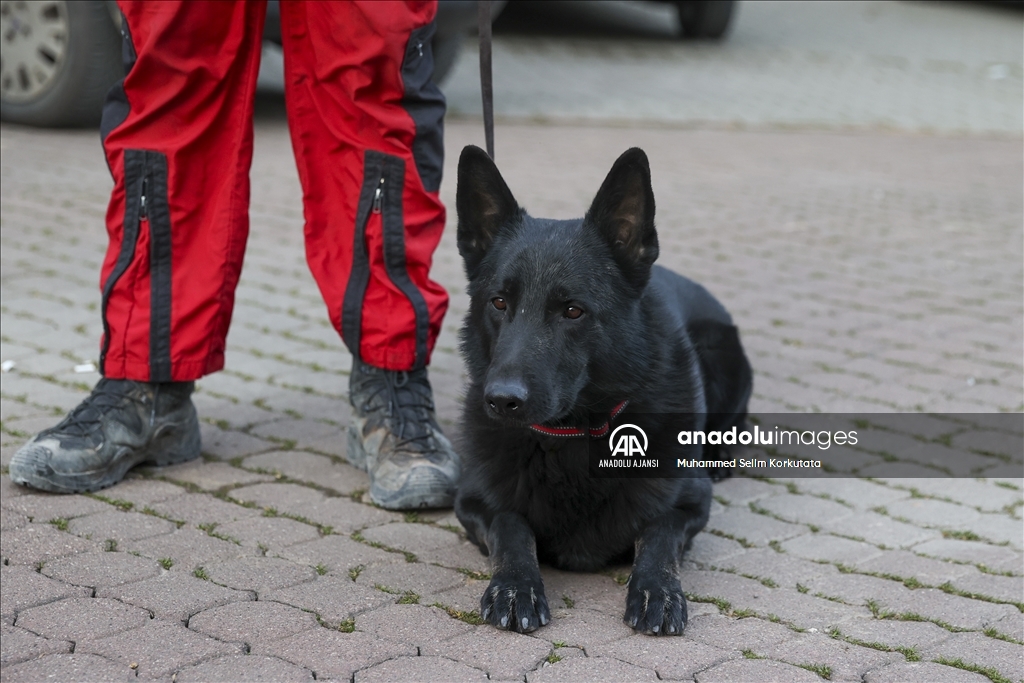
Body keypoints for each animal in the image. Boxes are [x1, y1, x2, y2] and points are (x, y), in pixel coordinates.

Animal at [452, 145, 749, 634]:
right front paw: (515, 585)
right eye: (499, 302)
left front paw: (657, 589)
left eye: (572, 310)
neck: (573, 437)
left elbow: (658, 537)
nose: (500, 400)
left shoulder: (690, 504)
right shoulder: (475, 501)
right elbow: (511, 530)